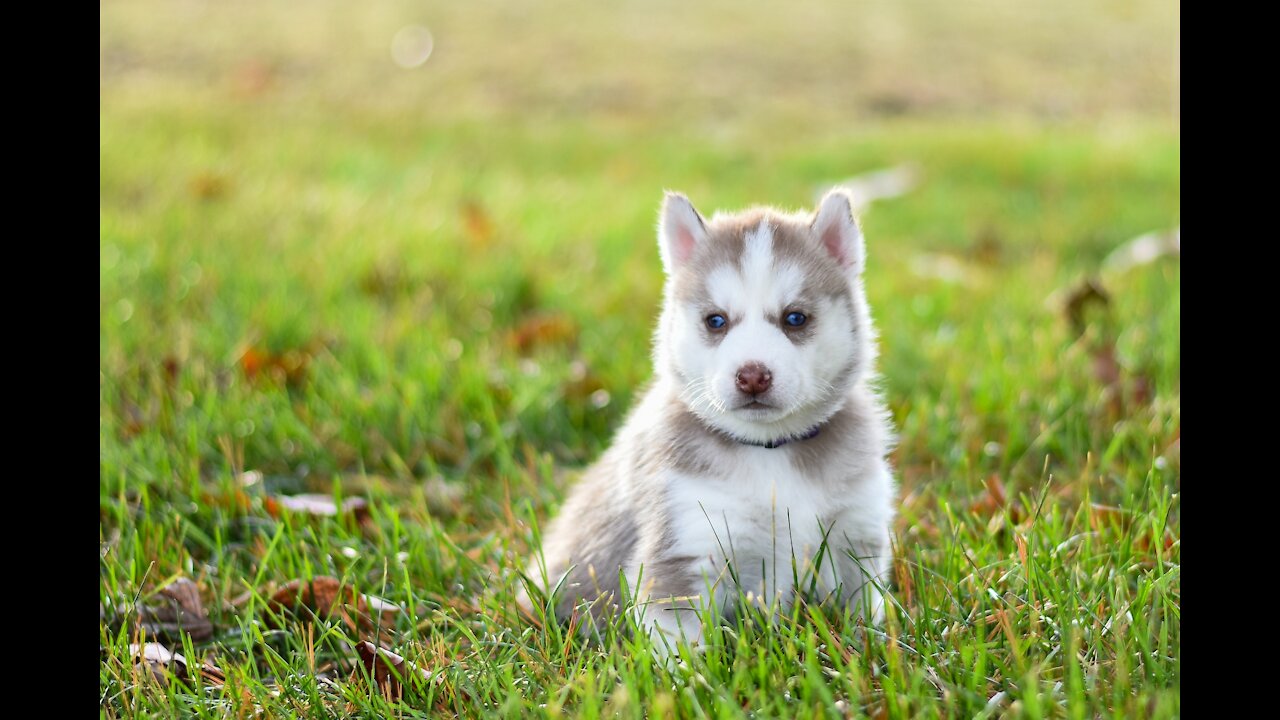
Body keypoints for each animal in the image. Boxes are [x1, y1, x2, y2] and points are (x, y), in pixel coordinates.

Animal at [524, 188, 896, 648]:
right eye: (715, 320)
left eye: (795, 318)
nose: (752, 375)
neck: (770, 451)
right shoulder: (684, 547)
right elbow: (681, 647)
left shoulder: (854, 536)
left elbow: (864, 616)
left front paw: (873, 650)